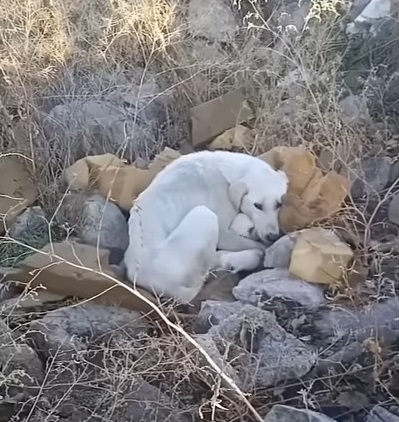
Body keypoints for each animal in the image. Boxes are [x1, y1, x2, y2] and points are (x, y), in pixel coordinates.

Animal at [123, 150, 290, 304]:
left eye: (279, 204)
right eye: (258, 205)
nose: (272, 237)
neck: (226, 172)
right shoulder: (225, 232)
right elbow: (256, 244)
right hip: (204, 214)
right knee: (209, 265)